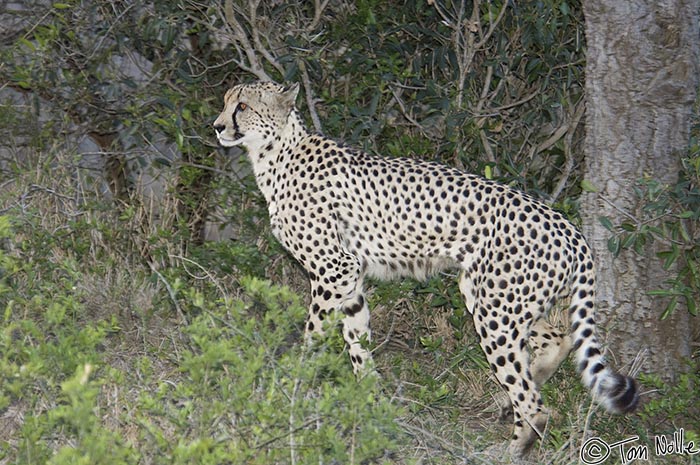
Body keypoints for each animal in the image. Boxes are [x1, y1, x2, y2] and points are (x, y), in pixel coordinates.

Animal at [211, 81, 636, 454]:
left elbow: (314, 333)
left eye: (242, 106)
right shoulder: (349, 277)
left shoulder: (335, 268)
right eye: (226, 102)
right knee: (556, 341)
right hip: (500, 297)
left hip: (496, 310)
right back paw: (518, 395)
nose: (216, 126)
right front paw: (368, 395)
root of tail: (567, 225)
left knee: (533, 398)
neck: (276, 152)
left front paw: (297, 379)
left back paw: (512, 447)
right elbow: (357, 338)